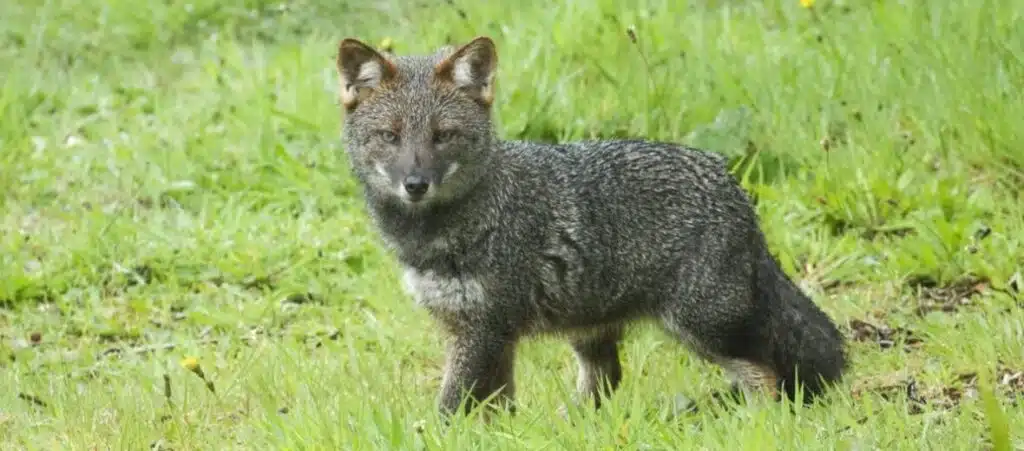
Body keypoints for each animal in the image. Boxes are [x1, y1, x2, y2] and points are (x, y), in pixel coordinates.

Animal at [333, 35, 847, 418]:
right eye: (390, 137)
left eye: (443, 136)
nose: (415, 185)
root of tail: (732, 185)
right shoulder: (479, 330)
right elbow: (496, 406)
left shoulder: (484, 329)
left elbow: (451, 404)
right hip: (589, 328)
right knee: (608, 381)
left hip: (698, 326)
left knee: (765, 376)